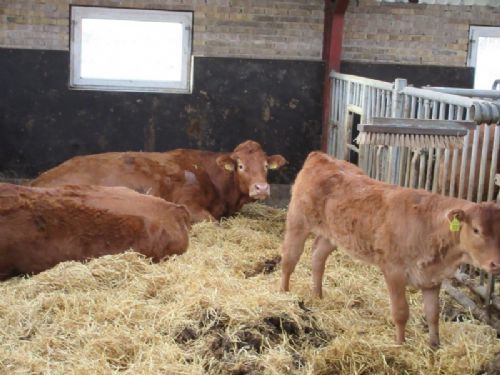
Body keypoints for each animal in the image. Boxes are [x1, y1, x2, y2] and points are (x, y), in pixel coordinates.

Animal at [282, 151, 500, 348]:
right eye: (476, 229)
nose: (496, 263)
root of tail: (321, 156)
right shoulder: (394, 270)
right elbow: (401, 312)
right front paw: (400, 344)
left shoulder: (432, 278)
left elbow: (433, 314)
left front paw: (434, 346)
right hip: (297, 221)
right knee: (289, 259)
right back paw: (284, 293)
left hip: (334, 234)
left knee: (318, 255)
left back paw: (317, 295)